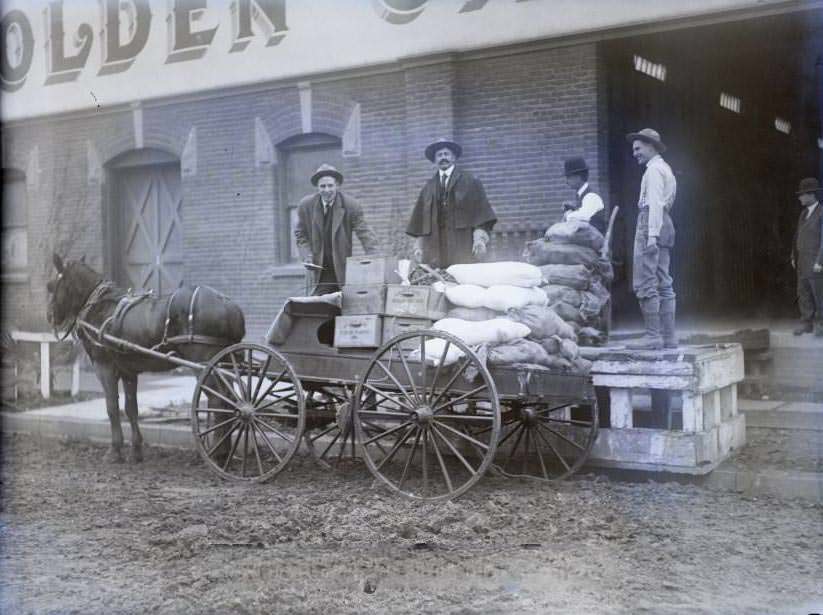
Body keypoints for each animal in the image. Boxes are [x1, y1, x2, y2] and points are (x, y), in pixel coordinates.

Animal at [47, 255, 245, 462]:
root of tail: (228, 305)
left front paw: (115, 450)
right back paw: (224, 450)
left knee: (219, 400)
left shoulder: (104, 367)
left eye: (51, 286)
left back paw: (218, 452)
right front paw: (136, 449)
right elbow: (131, 408)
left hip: (203, 364)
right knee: (229, 398)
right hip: (226, 362)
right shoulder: (128, 371)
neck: (100, 307)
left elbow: (112, 407)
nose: (50, 316)